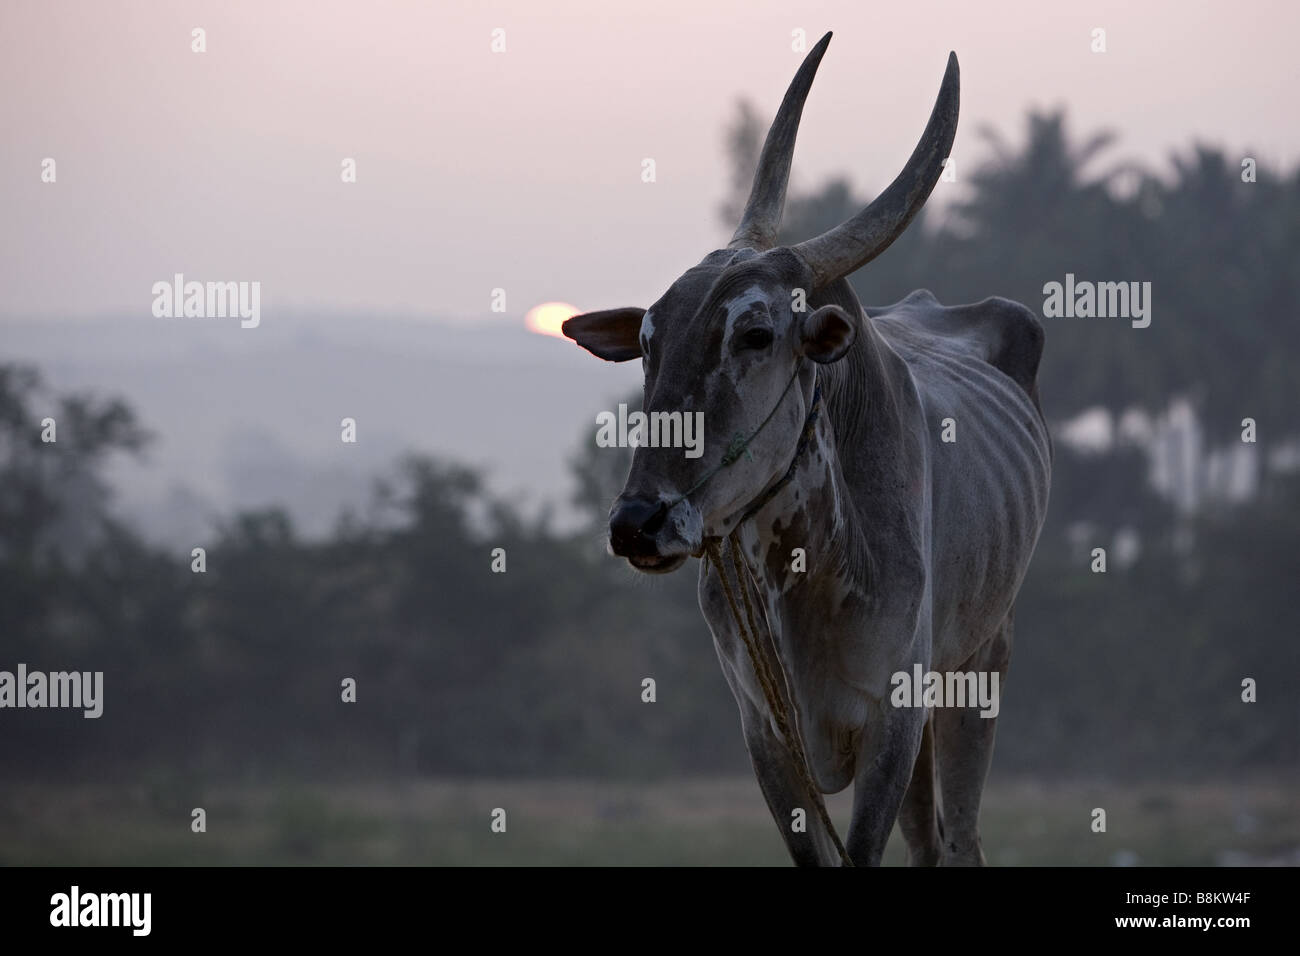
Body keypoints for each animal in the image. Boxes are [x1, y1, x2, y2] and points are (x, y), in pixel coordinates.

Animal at [564, 31, 1050, 868]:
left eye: (756, 334)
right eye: (648, 341)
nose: (637, 523)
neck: (811, 567)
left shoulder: (895, 719)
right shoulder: (765, 734)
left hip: (981, 665)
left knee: (959, 840)